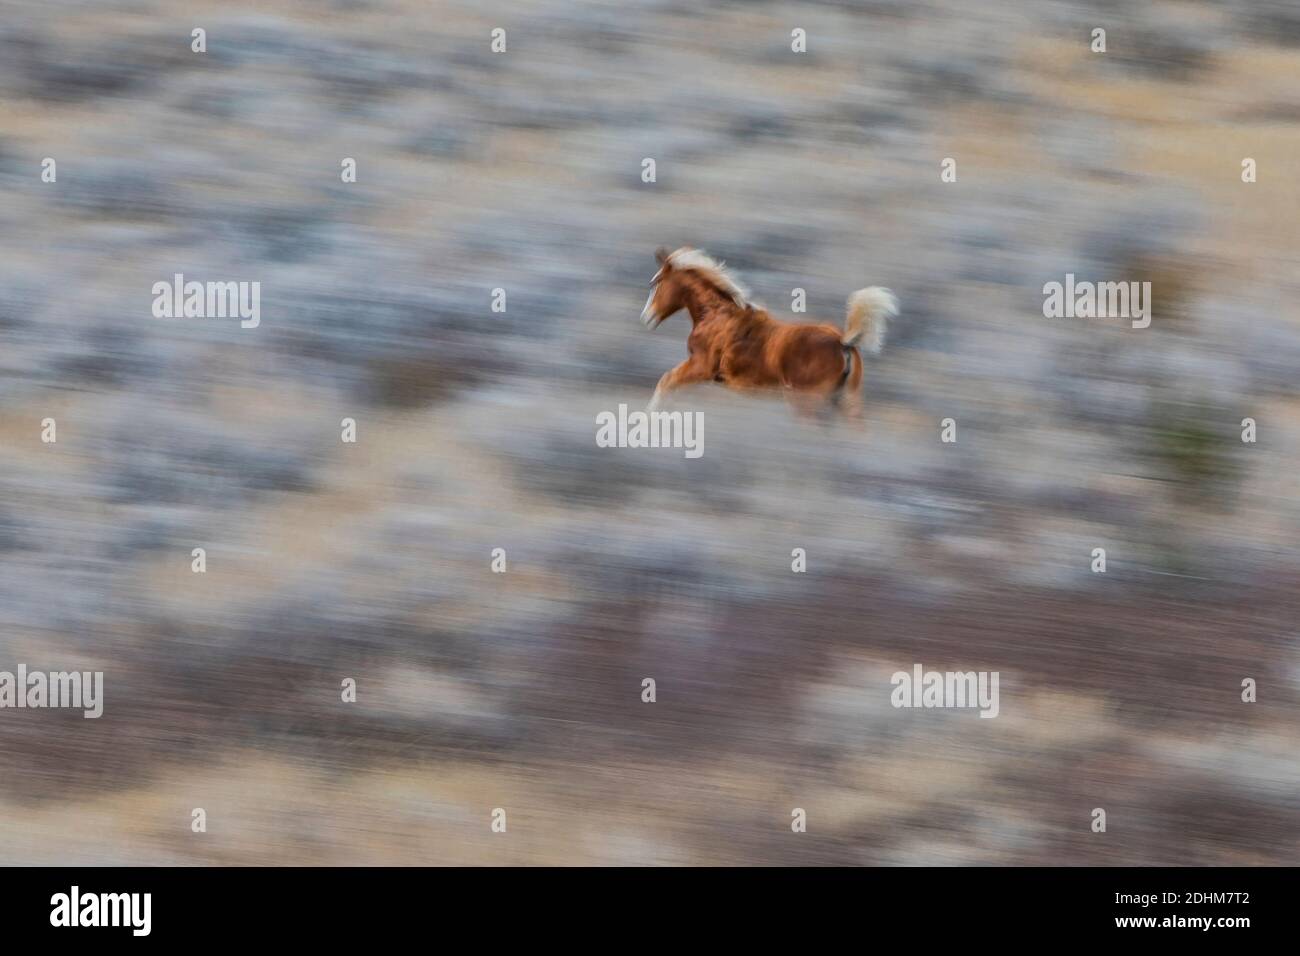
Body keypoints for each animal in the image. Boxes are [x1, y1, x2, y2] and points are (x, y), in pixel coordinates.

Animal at [637, 248, 894, 421]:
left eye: (656, 282)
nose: (646, 317)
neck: (716, 315)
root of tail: (843, 343)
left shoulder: (701, 367)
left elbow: (666, 381)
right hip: (846, 399)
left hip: (807, 400)